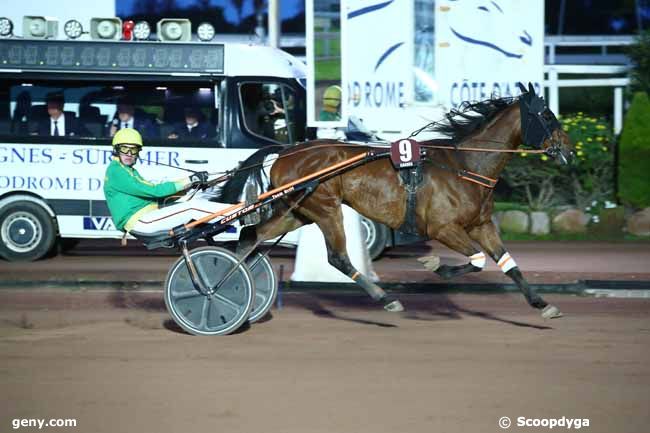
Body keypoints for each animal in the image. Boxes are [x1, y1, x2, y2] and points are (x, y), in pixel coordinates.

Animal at [219, 83, 572, 318]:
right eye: (547, 115)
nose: (568, 150)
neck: (466, 166)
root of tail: (286, 150)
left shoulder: (481, 225)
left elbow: (508, 264)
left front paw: (542, 304)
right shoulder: (444, 228)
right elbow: (476, 260)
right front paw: (436, 266)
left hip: (298, 210)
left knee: (251, 235)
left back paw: (233, 284)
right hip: (326, 208)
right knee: (338, 257)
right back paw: (385, 297)